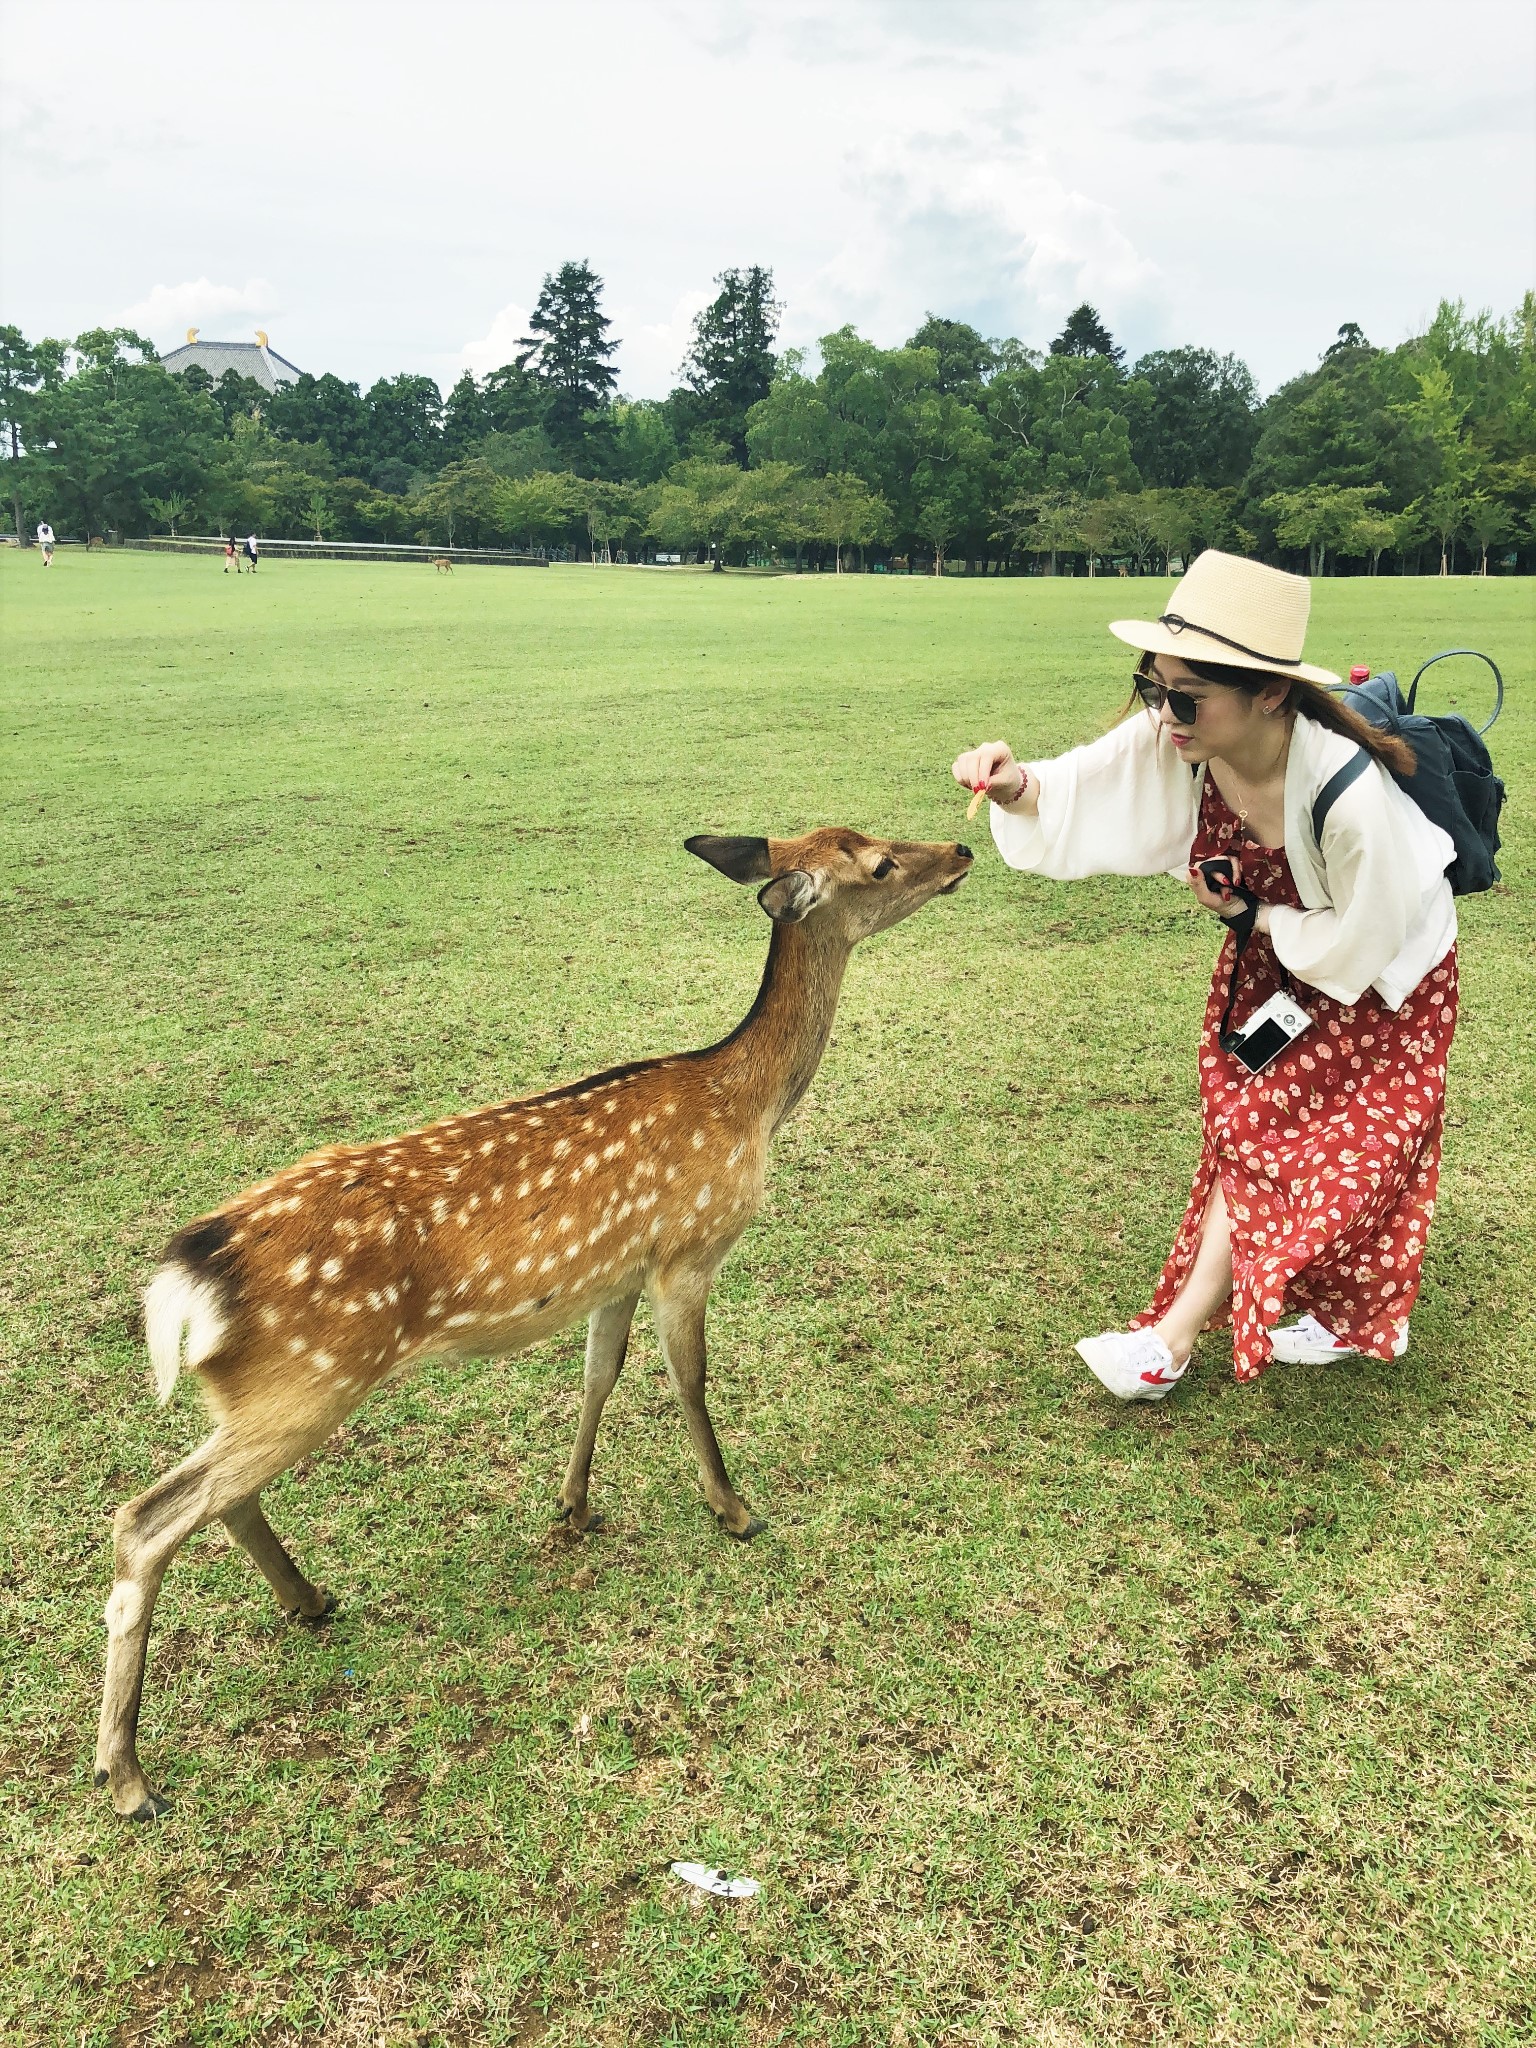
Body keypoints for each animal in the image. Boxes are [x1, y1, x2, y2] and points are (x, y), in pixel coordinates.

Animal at [93, 823, 974, 1818]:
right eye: (879, 865)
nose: (959, 850)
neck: (748, 1104)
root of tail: (190, 1276)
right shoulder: (689, 1250)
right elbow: (691, 1379)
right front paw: (735, 1510)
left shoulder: (617, 1273)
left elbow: (601, 1375)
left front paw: (575, 1505)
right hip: (305, 1381)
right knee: (146, 1520)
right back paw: (129, 1775)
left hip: (257, 1396)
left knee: (219, 1501)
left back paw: (308, 1602)